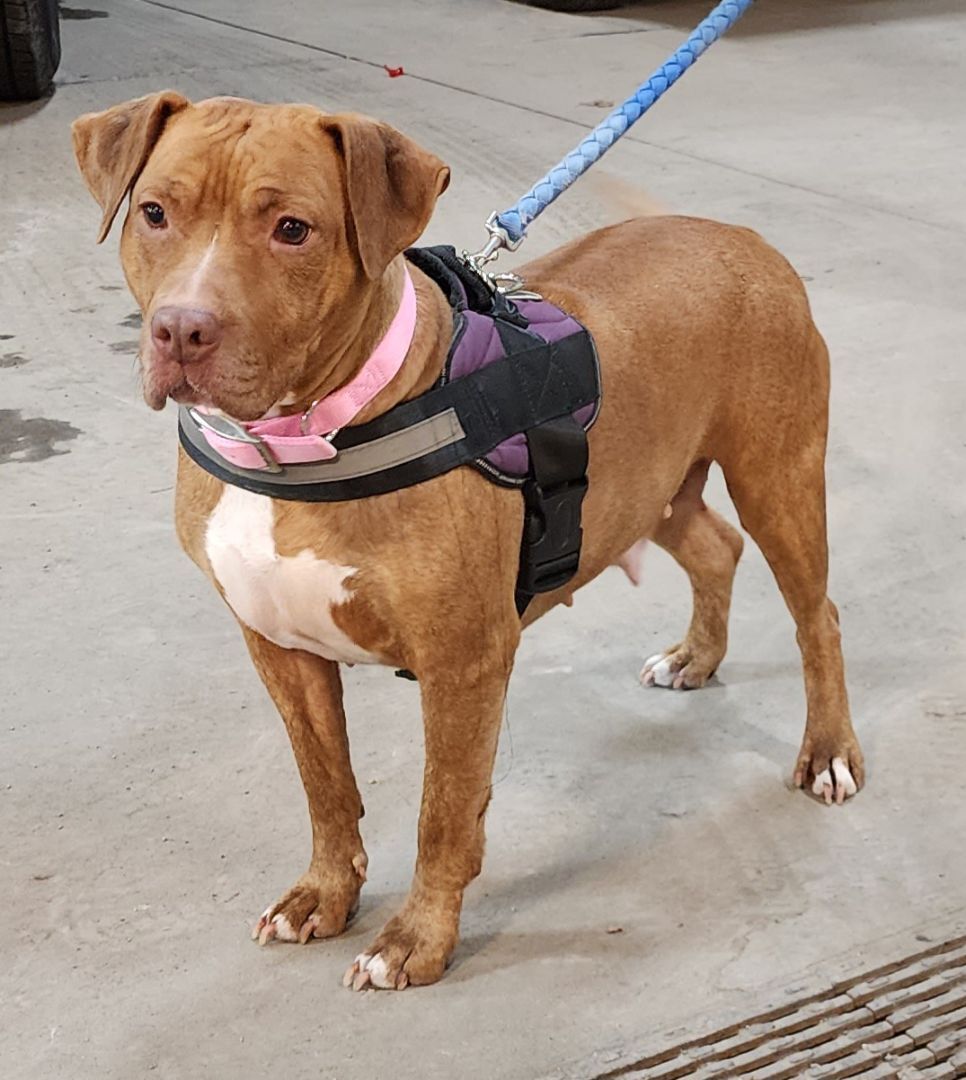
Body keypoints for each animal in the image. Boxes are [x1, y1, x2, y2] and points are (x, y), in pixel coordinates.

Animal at [71, 92, 864, 989]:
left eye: (292, 229)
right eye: (154, 213)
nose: (181, 330)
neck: (301, 444)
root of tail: (740, 235)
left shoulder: (463, 659)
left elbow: (442, 813)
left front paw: (417, 938)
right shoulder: (278, 646)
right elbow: (325, 785)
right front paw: (324, 893)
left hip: (778, 475)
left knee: (817, 616)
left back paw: (828, 751)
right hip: (646, 486)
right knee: (715, 547)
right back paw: (697, 655)